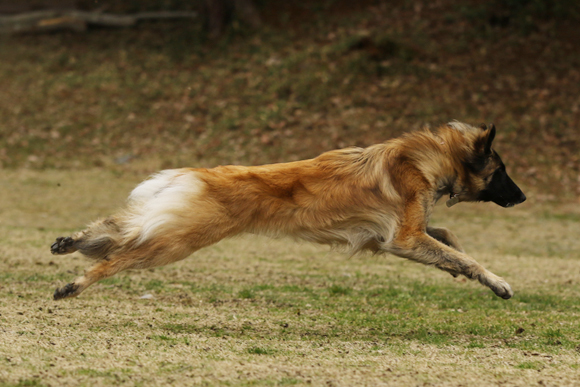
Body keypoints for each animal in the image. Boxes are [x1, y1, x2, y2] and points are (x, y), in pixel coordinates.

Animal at [52, 121, 528, 300]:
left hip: (167, 227)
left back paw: (70, 241)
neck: (431, 158)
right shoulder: (403, 238)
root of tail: (196, 173)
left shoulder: (390, 238)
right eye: (503, 170)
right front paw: (497, 281)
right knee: (115, 258)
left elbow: (450, 241)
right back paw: (73, 285)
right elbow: (463, 254)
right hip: (176, 242)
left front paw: (457, 268)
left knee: (112, 232)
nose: (524, 198)